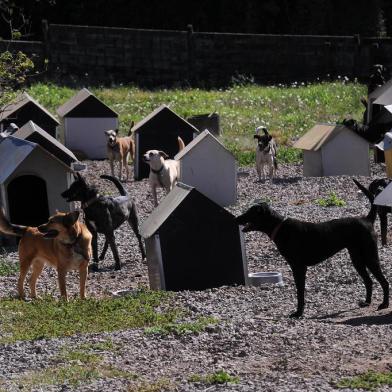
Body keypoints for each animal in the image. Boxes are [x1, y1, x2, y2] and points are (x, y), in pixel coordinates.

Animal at [236, 201, 388, 316]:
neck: (280, 227)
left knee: (384, 282)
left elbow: (300, 292)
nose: (236, 218)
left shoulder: (299, 268)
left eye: (250, 212)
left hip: (370, 258)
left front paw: (298, 313)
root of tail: (367, 219)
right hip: (357, 259)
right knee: (369, 281)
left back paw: (384, 304)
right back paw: (367, 302)